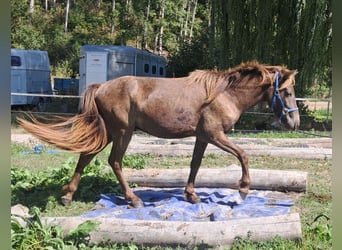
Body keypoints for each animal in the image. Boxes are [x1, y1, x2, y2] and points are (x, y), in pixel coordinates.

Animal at [18, 60, 300, 207]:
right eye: (286, 91)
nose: (294, 122)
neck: (224, 94)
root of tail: (101, 86)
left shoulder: (202, 137)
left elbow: (195, 164)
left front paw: (191, 195)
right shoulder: (215, 135)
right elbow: (243, 155)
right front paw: (243, 190)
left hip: (109, 132)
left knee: (85, 157)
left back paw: (68, 195)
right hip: (123, 133)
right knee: (114, 161)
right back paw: (133, 199)